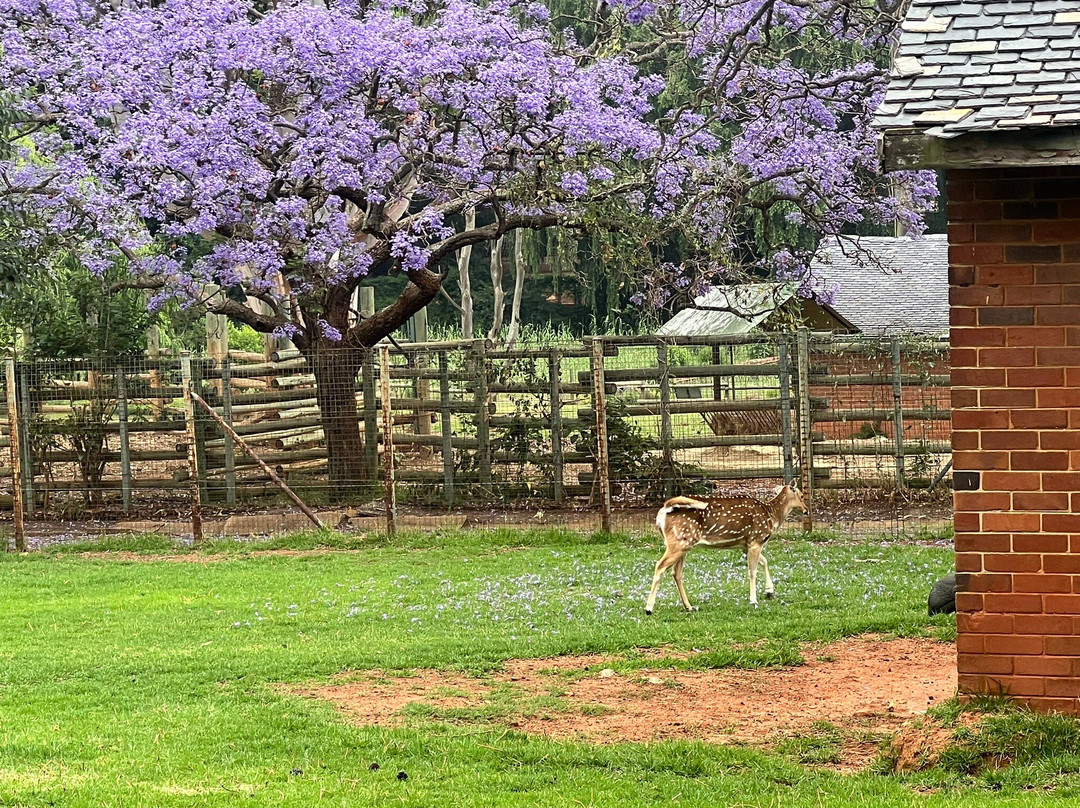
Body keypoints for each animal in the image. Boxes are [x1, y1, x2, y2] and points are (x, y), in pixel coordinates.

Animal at [645, 484, 807, 613]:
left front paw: (769, 591)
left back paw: (689, 606)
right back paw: (649, 608)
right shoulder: (756, 540)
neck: (772, 515)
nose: (806, 510)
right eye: (801, 495)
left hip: (684, 544)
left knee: (676, 573)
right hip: (678, 543)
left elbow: (765, 561)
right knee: (660, 566)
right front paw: (753, 600)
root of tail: (663, 511)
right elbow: (752, 571)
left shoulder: (745, 545)